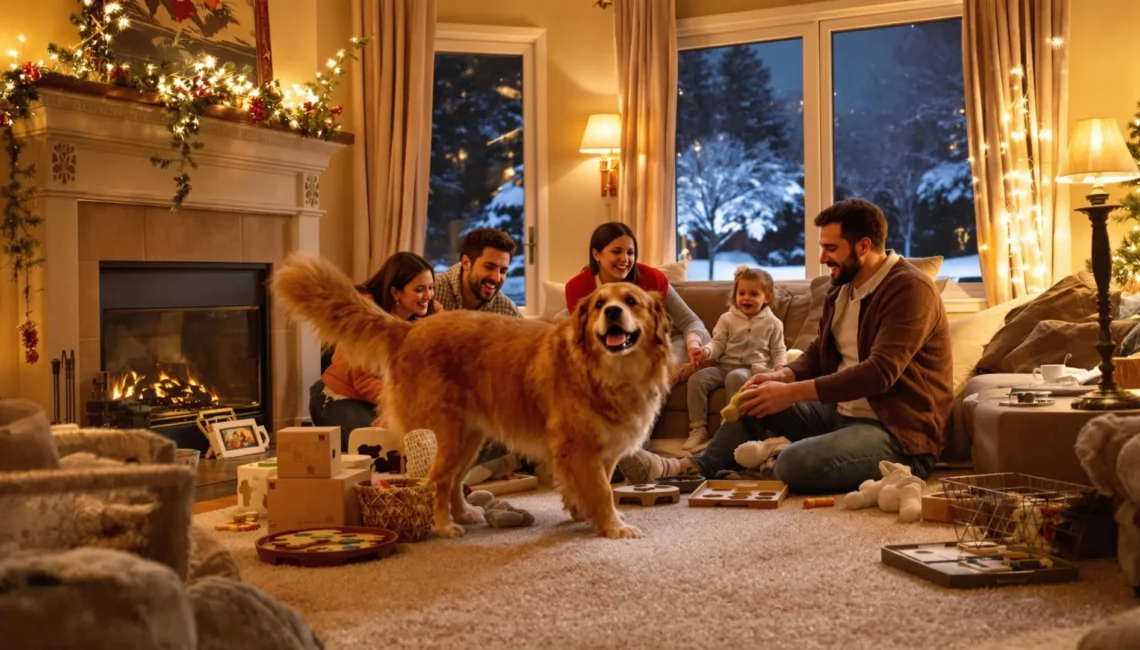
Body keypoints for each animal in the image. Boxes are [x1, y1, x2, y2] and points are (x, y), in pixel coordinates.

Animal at [267, 253, 674, 535]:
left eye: (631, 301)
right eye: (600, 304)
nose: (613, 312)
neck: (604, 371)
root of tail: (409, 330)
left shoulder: (602, 451)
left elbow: (595, 486)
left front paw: (585, 514)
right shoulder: (579, 447)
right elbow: (603, 491)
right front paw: (614, 527)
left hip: (469, 437)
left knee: (453, 481)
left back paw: (463, 512)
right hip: (443, 434)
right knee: (435, 480)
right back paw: (444, 526)